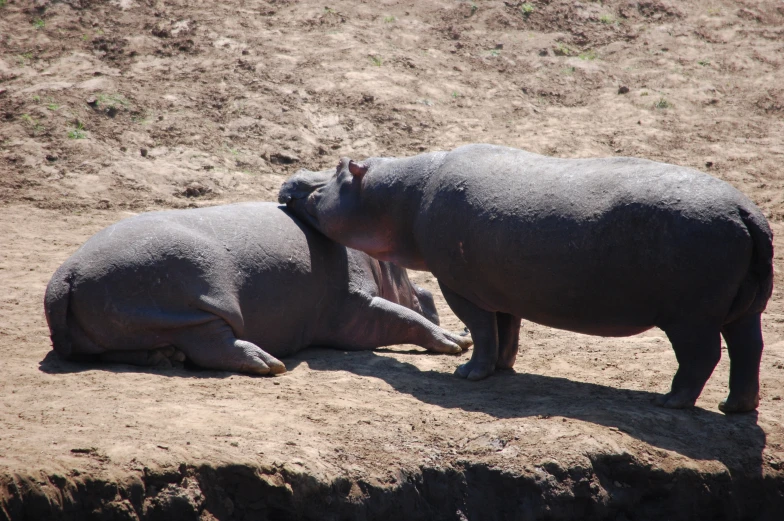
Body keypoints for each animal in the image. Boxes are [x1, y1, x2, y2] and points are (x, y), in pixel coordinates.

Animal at [44, 200, 472, 374]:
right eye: (415, 280)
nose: (428, 295)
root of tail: (66, 276)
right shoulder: (355, 305)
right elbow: (402, 317)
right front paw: (457, 342)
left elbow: (399, 316)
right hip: (193, 299)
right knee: (214, 343)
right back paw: (267, 363)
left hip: (121, 324)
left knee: (112, 351)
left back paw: (163, 358)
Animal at [278, 144, 776, 412]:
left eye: (335, 172)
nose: (292, 179)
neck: (399, 196)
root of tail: (746, 211)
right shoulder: (500, 290)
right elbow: (506, 331)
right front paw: (501, 369)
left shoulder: (461, 287)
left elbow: (481, 330)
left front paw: (468, 374)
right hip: (743, 311)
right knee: (748, 350)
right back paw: (735, 407)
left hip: (690, 317)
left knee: (703, 356)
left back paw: (670, 402)